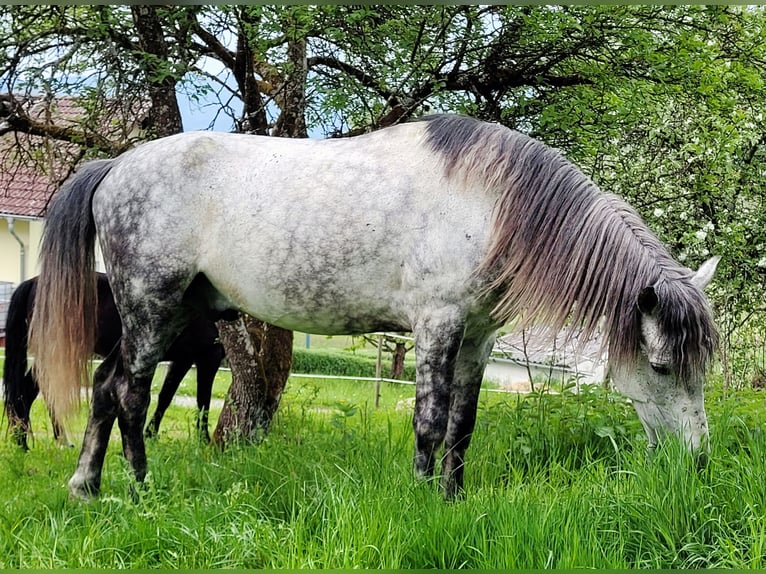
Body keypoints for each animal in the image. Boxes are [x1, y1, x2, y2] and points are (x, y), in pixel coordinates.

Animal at [2, 272, 225, 452]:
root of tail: (33, 282)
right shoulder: (209, 357)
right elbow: (203, 401)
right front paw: (204, 440)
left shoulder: (184, 359)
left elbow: (166, 397)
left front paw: (150, 435)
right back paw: (29, 442)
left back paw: (29, 441)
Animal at [25, 116, 720, 500]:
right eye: (661, 366)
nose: (697, 461)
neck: (492, 202)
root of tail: (118, 164)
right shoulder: (437, 324)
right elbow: (430, 423)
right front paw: (420, 499)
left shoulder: (477, 337)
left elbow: (463, 426)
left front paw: (452, 499)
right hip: (152, 306)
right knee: (127, 391)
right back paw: (128, 486)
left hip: (160, 313)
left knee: (107, 386)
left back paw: (95, 485)